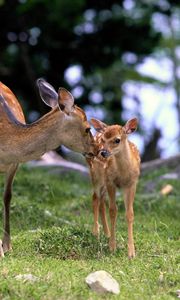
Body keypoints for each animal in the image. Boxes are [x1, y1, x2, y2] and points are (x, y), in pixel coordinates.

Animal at [87, 117, 141, 258]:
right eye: (103, 140)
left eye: (117, 140)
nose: (103, 152)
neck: (123, 172)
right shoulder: (111, 181)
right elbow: (113, 211)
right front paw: (112, 247)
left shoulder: (132, 183)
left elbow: (130, 214)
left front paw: (131, 252)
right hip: (96, 176)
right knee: (95, 198)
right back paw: (96, 232)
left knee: (101, 201)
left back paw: (106, 233)